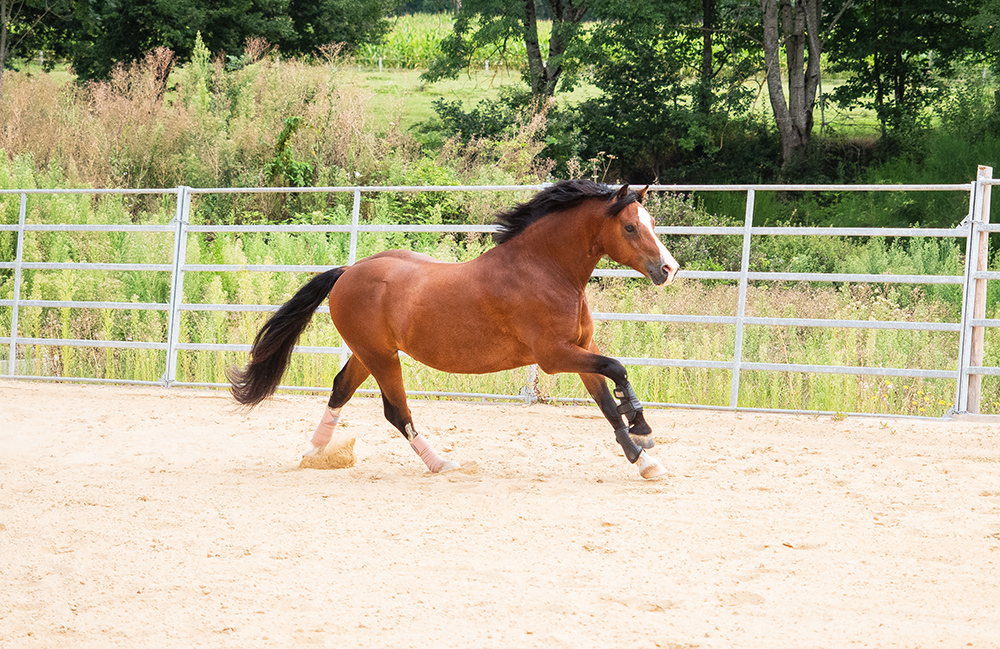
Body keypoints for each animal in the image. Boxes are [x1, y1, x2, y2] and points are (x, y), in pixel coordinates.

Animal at [229, 180, 680, 478]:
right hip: (381, 356)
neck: (546, 269)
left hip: (367, 353)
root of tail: (348, 272)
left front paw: (644, 459)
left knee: (341, 389)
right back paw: (440, 462)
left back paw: (313, 453)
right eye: (630, 227)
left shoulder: (581, 350)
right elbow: (618, 369)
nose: (669, 269)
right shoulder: (555, 355)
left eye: (652, 221)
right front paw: (643, 430)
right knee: (397, 412)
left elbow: (607, 403)